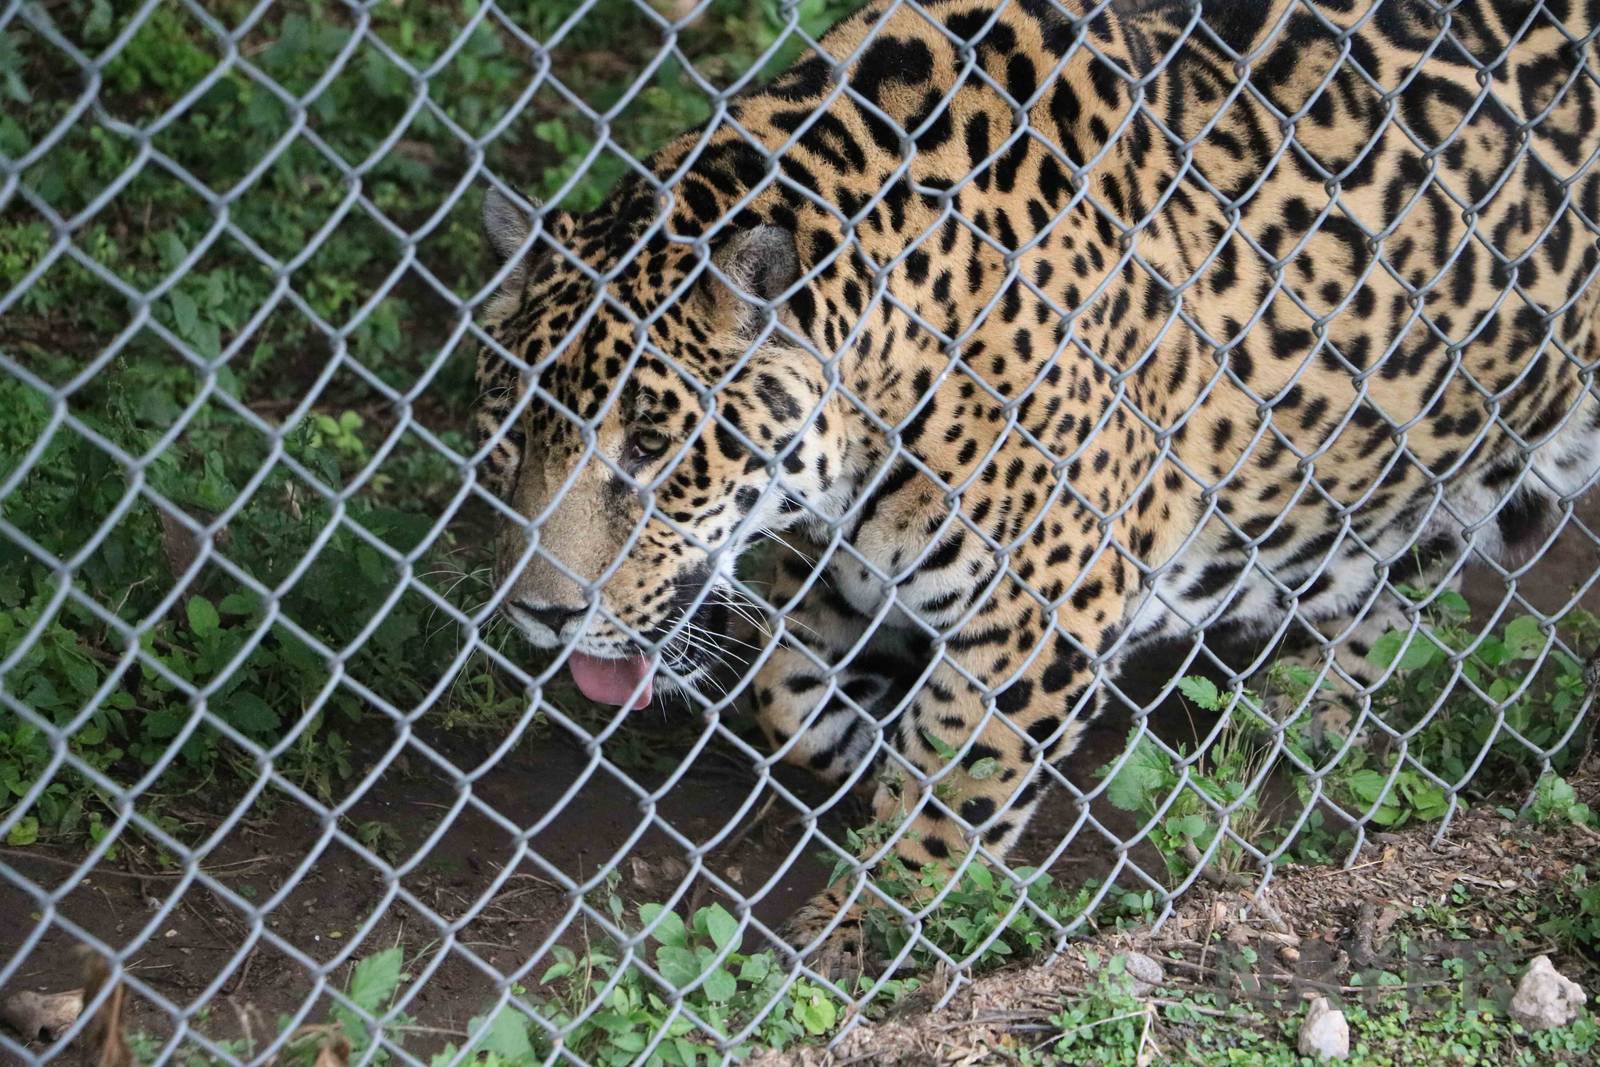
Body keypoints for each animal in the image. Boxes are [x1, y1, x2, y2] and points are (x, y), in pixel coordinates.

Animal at [475, 0, 1600, 975]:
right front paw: (857, 734)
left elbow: (951, 793)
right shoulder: (843, 554)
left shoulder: (1033, 616)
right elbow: (787, 696)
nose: (541, 615)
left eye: (654, 446)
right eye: (506, 434)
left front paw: (861, 928)